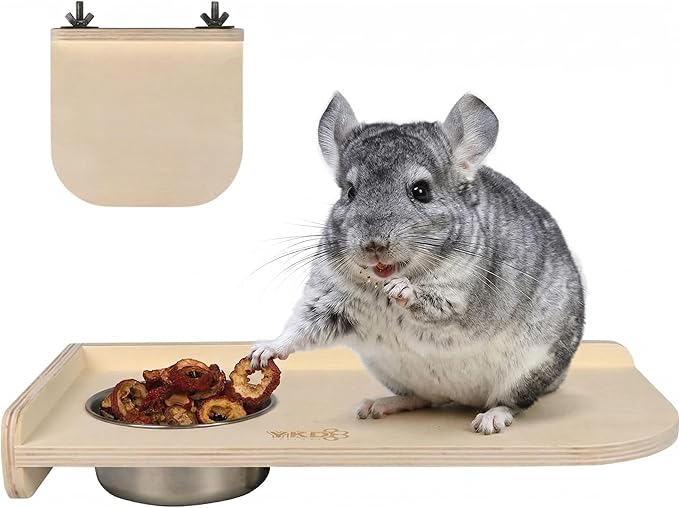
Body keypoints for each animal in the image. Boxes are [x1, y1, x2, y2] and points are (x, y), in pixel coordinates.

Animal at [250, 93, 585, 434]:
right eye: (350, 191)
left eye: (421, 191)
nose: (373, 245)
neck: (383, 281)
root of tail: (462, 397)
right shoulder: (328, 299)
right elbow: (302, 327)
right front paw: (264, 350)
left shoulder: (461, 296)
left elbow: (436, 302)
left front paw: (402, 289)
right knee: (424, 399)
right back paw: (379, 405)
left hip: (530, 370)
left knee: (513, 402)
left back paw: (491, 418)